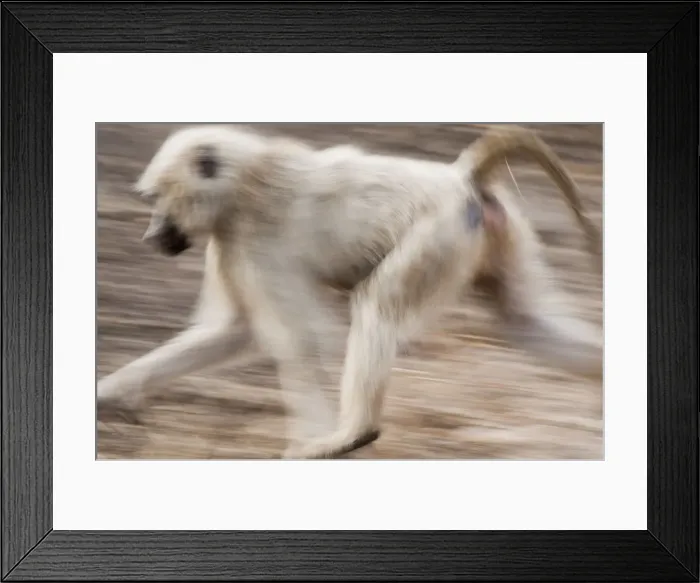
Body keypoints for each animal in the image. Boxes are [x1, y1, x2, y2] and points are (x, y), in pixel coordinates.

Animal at [96, 123, 603, 459]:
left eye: (159, 199)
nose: (152, 235)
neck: (243, 180)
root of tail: (460, 178)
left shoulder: (252, 238)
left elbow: (295, 341)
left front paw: (313, 440)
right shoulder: (230, 242)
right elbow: (234, 332)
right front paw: (111, 394)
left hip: (438, 236)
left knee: (377, 307)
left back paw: (352, 435)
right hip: (488, 238)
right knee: (524, 320)